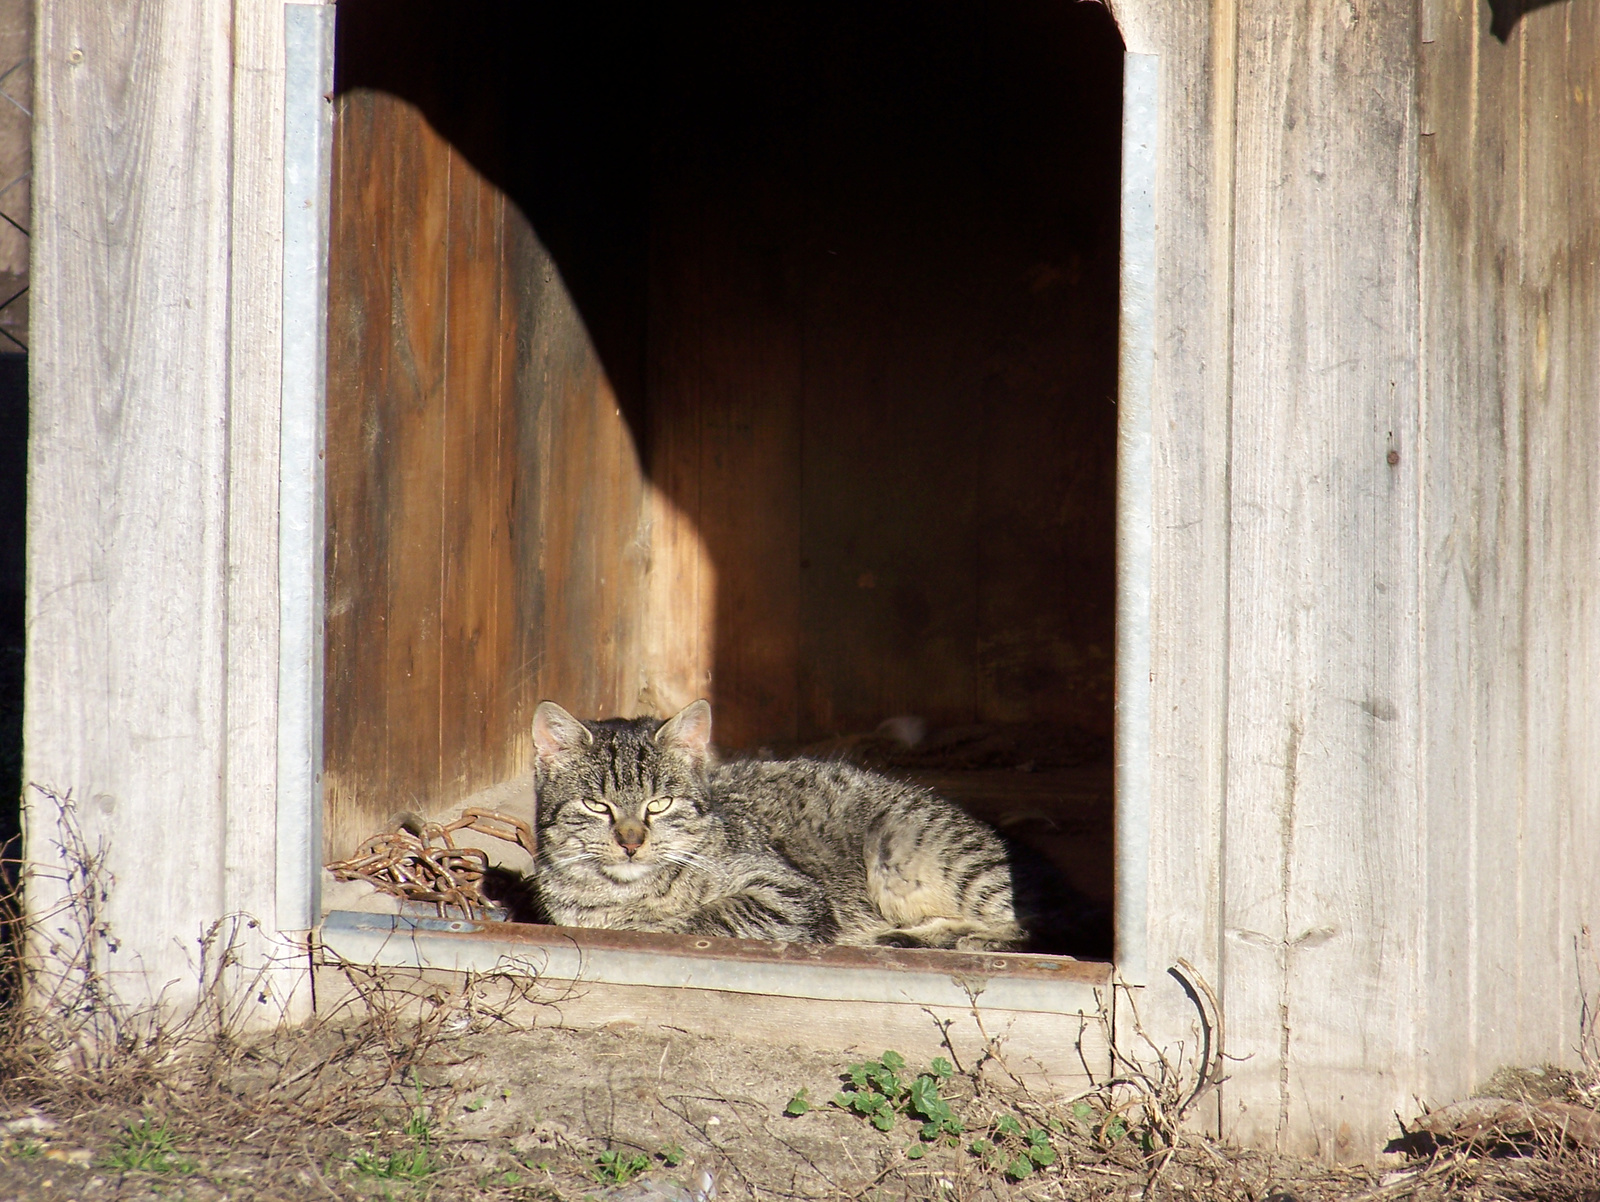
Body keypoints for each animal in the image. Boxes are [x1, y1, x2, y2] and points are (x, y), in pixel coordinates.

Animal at [505, 694, 1107, 960]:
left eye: (660, 804)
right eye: (596, 805)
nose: (631, 841)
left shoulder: (790, 892)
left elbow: (702, 917)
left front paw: (655, 922)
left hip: (907, 847)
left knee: (1049, 925)